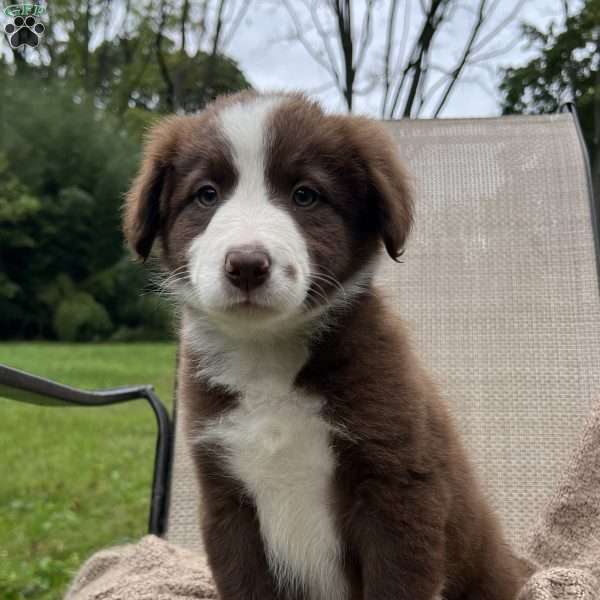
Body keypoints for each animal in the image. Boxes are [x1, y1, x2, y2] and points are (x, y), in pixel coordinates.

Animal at [123, 90, 524, 600]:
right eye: (206, 195)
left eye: (305, 195)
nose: (247, 264)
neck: (267, 359)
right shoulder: (228, 500)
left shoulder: (398, 488)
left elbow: (396, 584)